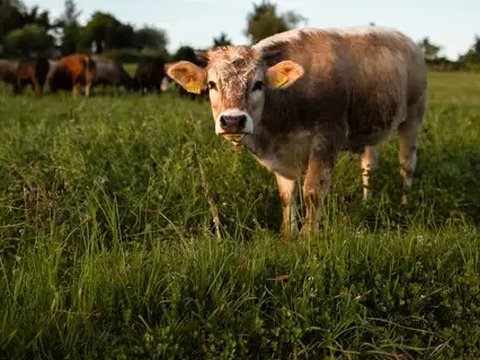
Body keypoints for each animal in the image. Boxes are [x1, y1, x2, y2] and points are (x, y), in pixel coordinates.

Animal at [166, 26, 428, 240]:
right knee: (369, 165)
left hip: (413, 119)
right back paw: (367, 201)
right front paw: (288, 233)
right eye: (212, 85)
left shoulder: (327, 137)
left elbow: (312, 190)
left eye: (258, 84)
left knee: (407, 163)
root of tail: (408, 41)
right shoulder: (281, 155)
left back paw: (405, 202)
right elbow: (286, 194)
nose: (232, 120)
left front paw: (307, 235)